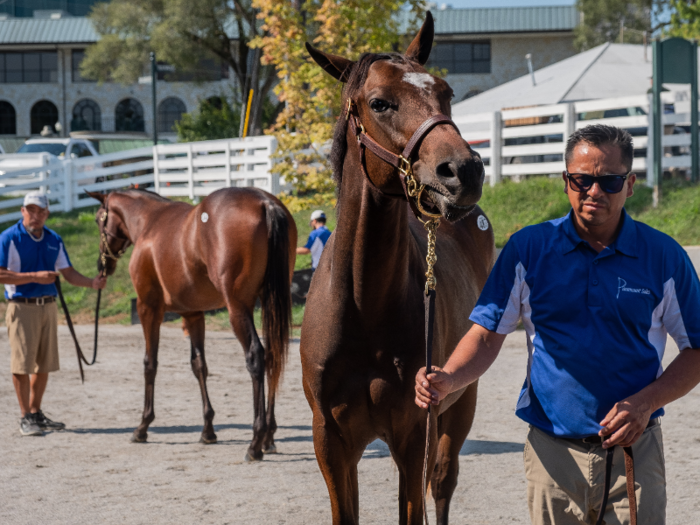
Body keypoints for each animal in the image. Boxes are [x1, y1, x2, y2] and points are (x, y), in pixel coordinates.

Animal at [87, 187, 296, 458]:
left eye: (97, 219)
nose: (102, 265)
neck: (148, 222)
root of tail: (264, 202)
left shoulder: (148, 308)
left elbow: (150, 364)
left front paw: (143, 426)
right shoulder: (193, 313)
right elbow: (199, 366)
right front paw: (208, 430)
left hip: (238, 307)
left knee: (256, 356)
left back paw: (256, 442)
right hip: (270, 301)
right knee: (273, 356)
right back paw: (269, 436)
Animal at [304, 13, 494, 524]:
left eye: (446, 92)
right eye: (379, 102)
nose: (464, 170)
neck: (363, 305)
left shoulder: (412, 435)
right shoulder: (331, 441)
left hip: (458, 404)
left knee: (442, 485)